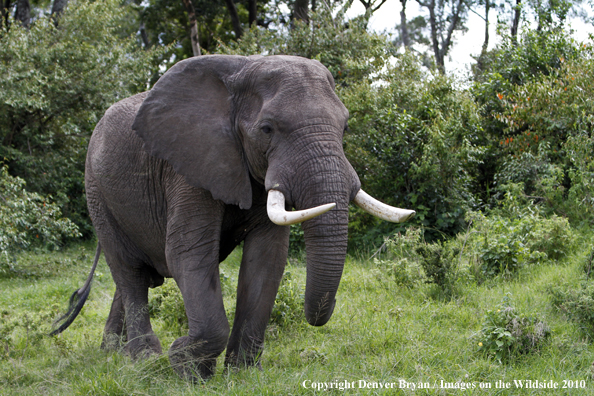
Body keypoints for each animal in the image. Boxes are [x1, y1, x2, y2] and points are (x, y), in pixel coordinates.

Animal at [51, 54, 412, 382]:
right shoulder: (189, 165)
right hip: (97, 192)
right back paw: (145, 361)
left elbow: (267, 258)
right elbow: (188, 252)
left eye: (346, 126)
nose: (328, 309)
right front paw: (187, 367)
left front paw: (243, 372)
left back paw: (112, 352)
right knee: (129, 272)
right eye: (267, 129)